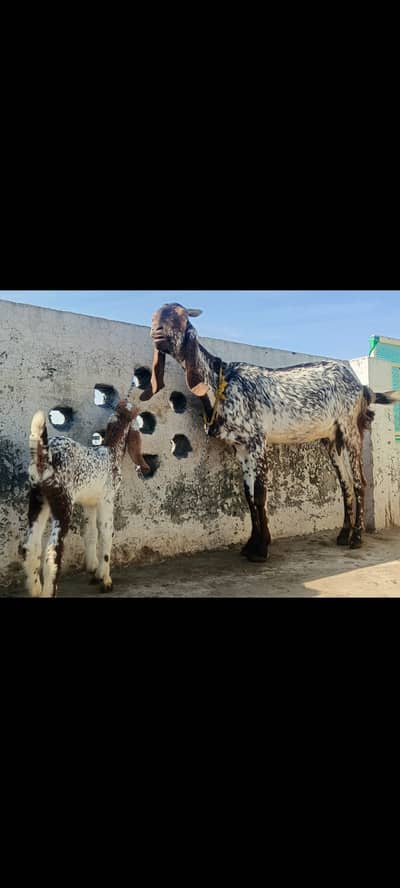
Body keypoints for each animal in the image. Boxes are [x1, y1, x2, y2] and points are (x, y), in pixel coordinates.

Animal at [23, 400, 148, 596]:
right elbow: (106, 533)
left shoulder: (89, 503)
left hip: (38, 499)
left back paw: (35, 588)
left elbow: (90, 532)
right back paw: (48, 591)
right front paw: (105, 579)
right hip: (63, 504)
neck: (111, 452)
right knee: (52, 552)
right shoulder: (107, 500)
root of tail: (44, 457)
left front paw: (93, 568)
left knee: (30, 546)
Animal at [140, 302, 400, 561]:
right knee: (344, 482)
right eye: (154, 317)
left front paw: (261, 549)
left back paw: (356, 537)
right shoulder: (241, 448)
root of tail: (362, 386)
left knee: (359, 482)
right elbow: (248, 495)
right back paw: (343, 535)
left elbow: (260, 493)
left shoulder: (258, 441)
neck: (220, 382)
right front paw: (251, 545)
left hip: (350, 429)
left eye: (181, 318)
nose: (157, 333)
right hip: (331, 439)